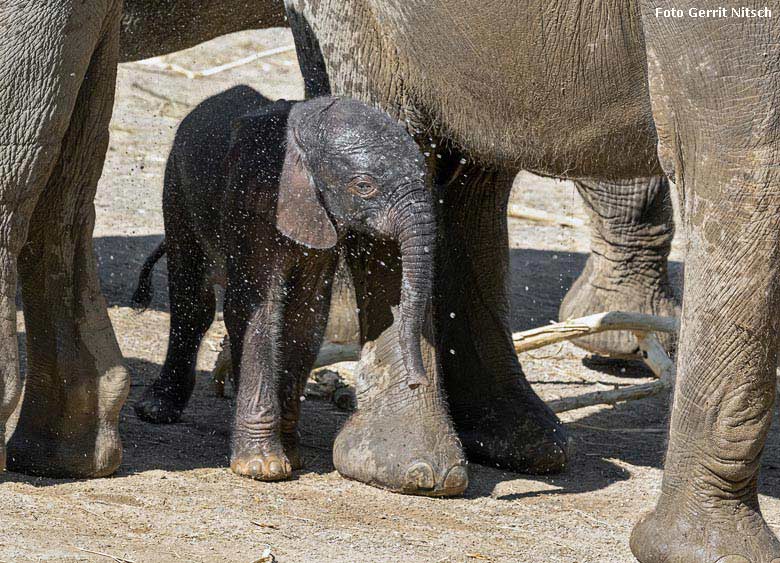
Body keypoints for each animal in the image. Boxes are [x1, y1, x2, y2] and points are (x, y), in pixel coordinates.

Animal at [136, 86, 438, 482]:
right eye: (364, 187)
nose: (418, 381)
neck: (307, 133)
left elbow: (306, 318)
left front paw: (292, 457)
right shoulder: (255, 203)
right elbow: (259, 313)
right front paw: (262, 468)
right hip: (177, 188)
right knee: (191, 299)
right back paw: (157, 409)